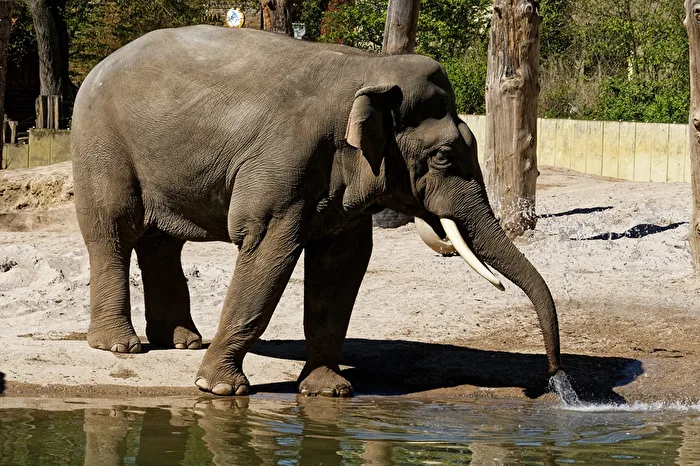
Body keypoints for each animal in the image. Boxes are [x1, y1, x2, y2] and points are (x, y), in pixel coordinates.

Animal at [71, 25, 562, 397]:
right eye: (442, 157)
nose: (553, 377)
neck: (371, 68)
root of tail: (97, 68)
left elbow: (342, 264)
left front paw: (329, 391)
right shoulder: (285, 162)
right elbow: (269, 249)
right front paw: (220, 389)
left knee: (162, 243)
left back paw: (181, 342)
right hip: (102, 144)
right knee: (113, 232)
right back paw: (121, 347)